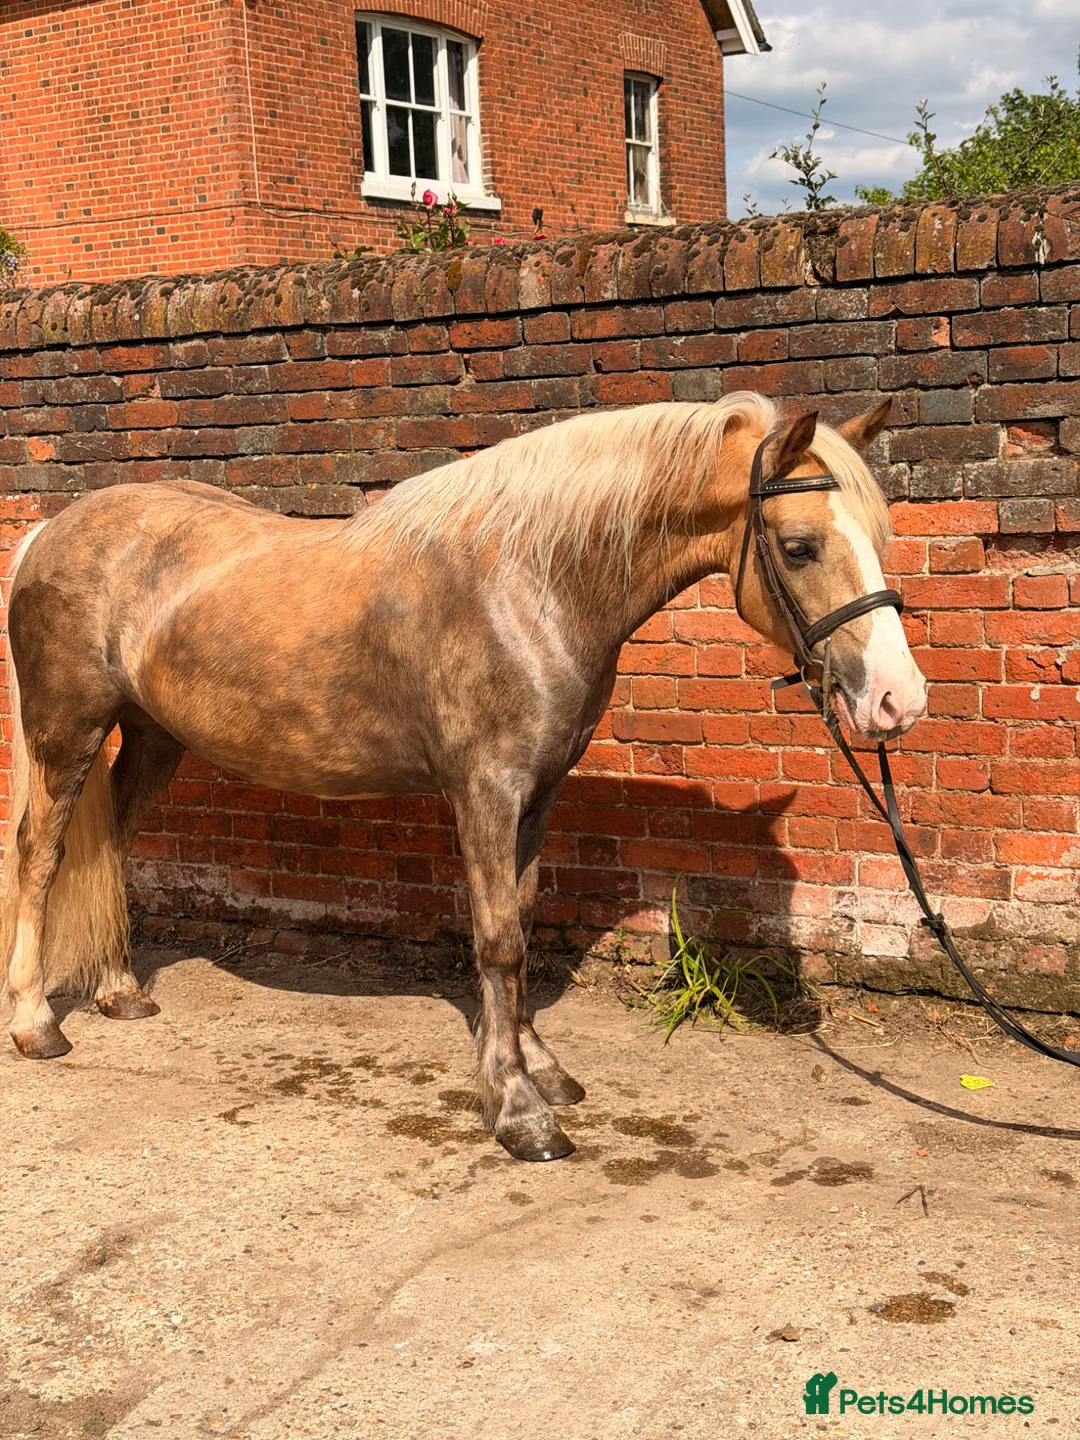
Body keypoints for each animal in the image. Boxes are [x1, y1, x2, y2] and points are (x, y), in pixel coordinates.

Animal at [1, 391, 927, 1161]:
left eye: (879, 539)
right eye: (800, 546)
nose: (898, 699)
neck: (531, 585)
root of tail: (50, 533)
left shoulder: (540, 792)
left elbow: (522, 915)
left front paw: (540, 1066)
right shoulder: (485, 790)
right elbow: (498, 939)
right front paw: (518, 1109)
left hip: (154, 739)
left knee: (111, 844)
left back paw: (120, 992)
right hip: (66, 735)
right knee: (42, 856)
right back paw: (36, 1022)